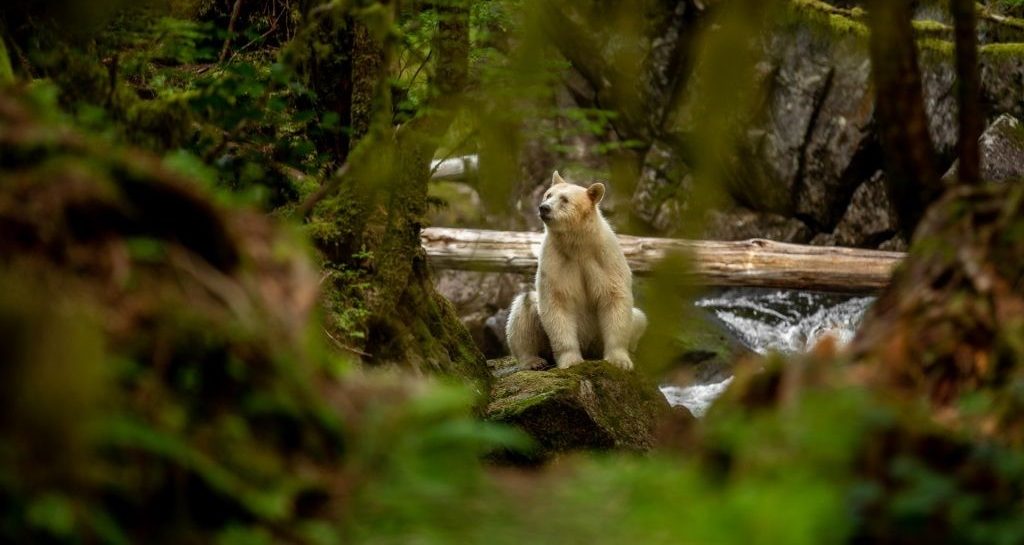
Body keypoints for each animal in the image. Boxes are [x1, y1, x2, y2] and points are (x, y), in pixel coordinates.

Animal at [505, 172, 643, 372]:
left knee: (639, 318)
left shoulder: (605, 258)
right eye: (548, 195)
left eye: (564, 199)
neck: (578, 245)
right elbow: (557, 301)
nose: (544, 208)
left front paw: (619, 361)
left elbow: (614, 297)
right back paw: (533, 361)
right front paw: (571, 361)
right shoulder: (556, 260)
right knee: (523, 309)